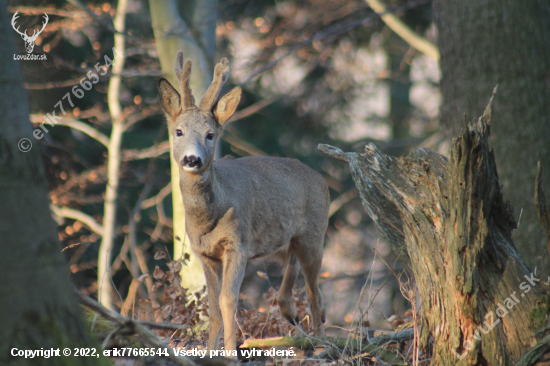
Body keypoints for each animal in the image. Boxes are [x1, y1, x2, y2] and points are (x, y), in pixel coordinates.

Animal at [157, 52, 330, 358]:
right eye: (178, 131)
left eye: (210, 134)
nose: (192, 159)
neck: (208, 219)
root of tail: (324, 182)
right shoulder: (204, 254)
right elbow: (213, 307)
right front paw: (211, 353)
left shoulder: (238, 243)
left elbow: (228, 299)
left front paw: (230, 354)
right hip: (288, 245)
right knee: (290, 292)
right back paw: (299, 337)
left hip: (314, 235)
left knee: (314, 294)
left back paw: (320, 346)